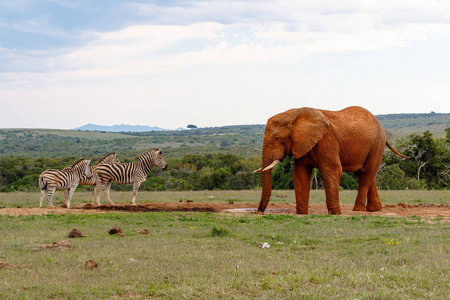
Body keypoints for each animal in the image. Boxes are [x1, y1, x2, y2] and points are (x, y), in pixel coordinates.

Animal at [253, 106, 408, 214]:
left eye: (277, 138)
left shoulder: (327, 140)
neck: (295, 114)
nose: (258, 212)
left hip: (377, 143)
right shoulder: (302, 144)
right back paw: (373, 210)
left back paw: (358, 210)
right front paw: (302, 213)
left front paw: (335, 213)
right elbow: (299, 175)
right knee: (368, 174)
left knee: (366, 173)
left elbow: (332, 171)